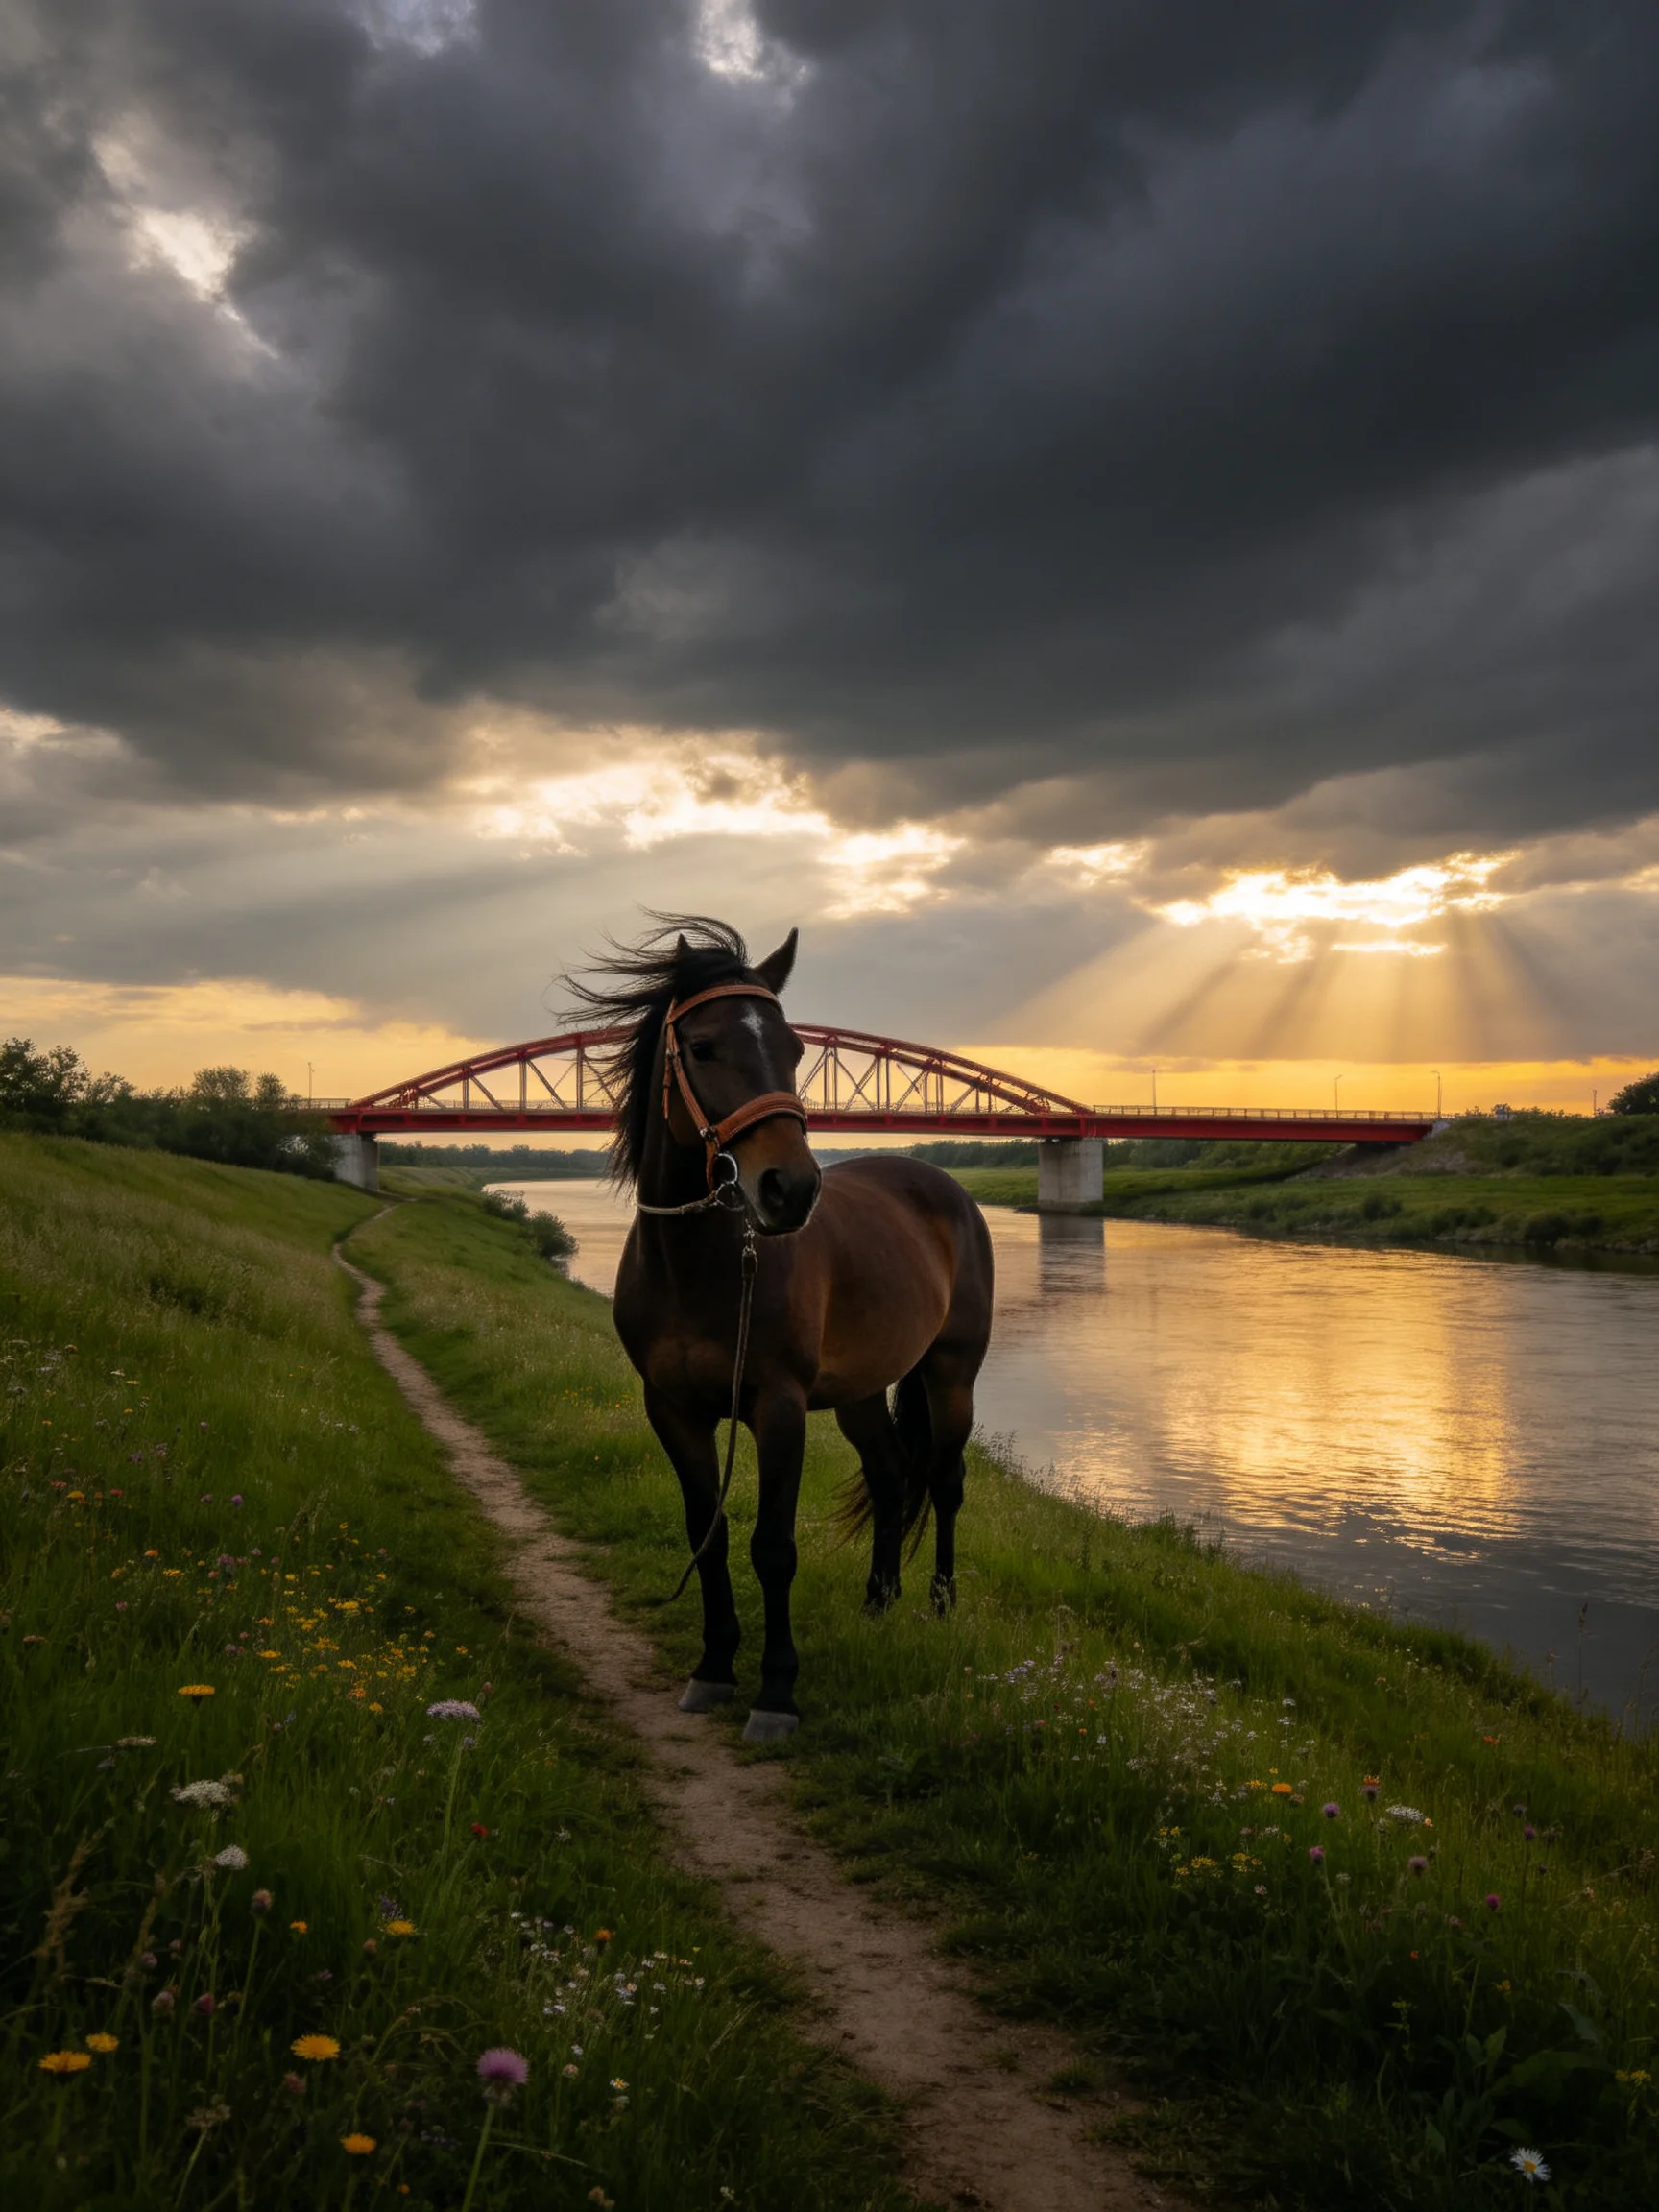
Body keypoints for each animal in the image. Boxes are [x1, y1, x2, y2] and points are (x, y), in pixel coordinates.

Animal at [566, 915, 995, 1743]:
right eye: (702, 1047)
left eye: (796, 1049)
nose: (790, 1188)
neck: (703, 1265)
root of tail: (944, 1184)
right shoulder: (672, 1409)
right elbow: (707, 1533)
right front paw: (713, 1667)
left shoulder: (778, 1407)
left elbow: (773, 1546)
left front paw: (776, 1690)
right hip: (861, 1391)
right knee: (890, 1474)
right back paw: (877, 1602)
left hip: (951, 1373)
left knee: (945, 1480)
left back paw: (940, 1603)